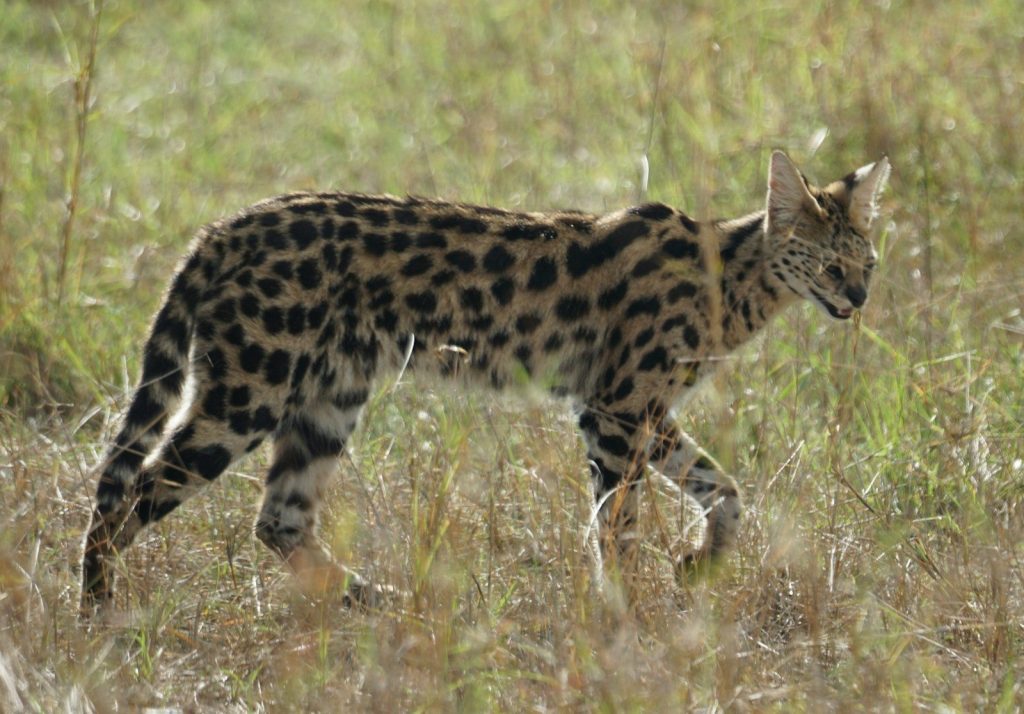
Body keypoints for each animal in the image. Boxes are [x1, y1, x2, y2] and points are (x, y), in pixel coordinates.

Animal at [81, 151, 889, 614]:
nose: (858, 300)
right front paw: (626, 614)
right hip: (248, 393)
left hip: (327, 400)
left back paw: (374, 599)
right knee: (125, 500)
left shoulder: (639, 411)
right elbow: (617, 526)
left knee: (277, 518)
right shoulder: (616, 410)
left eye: (869, 262)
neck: (736, 277)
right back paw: (100, 615)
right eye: (829, 265)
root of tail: (225, 226)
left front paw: (698, 562)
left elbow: (725, 490)